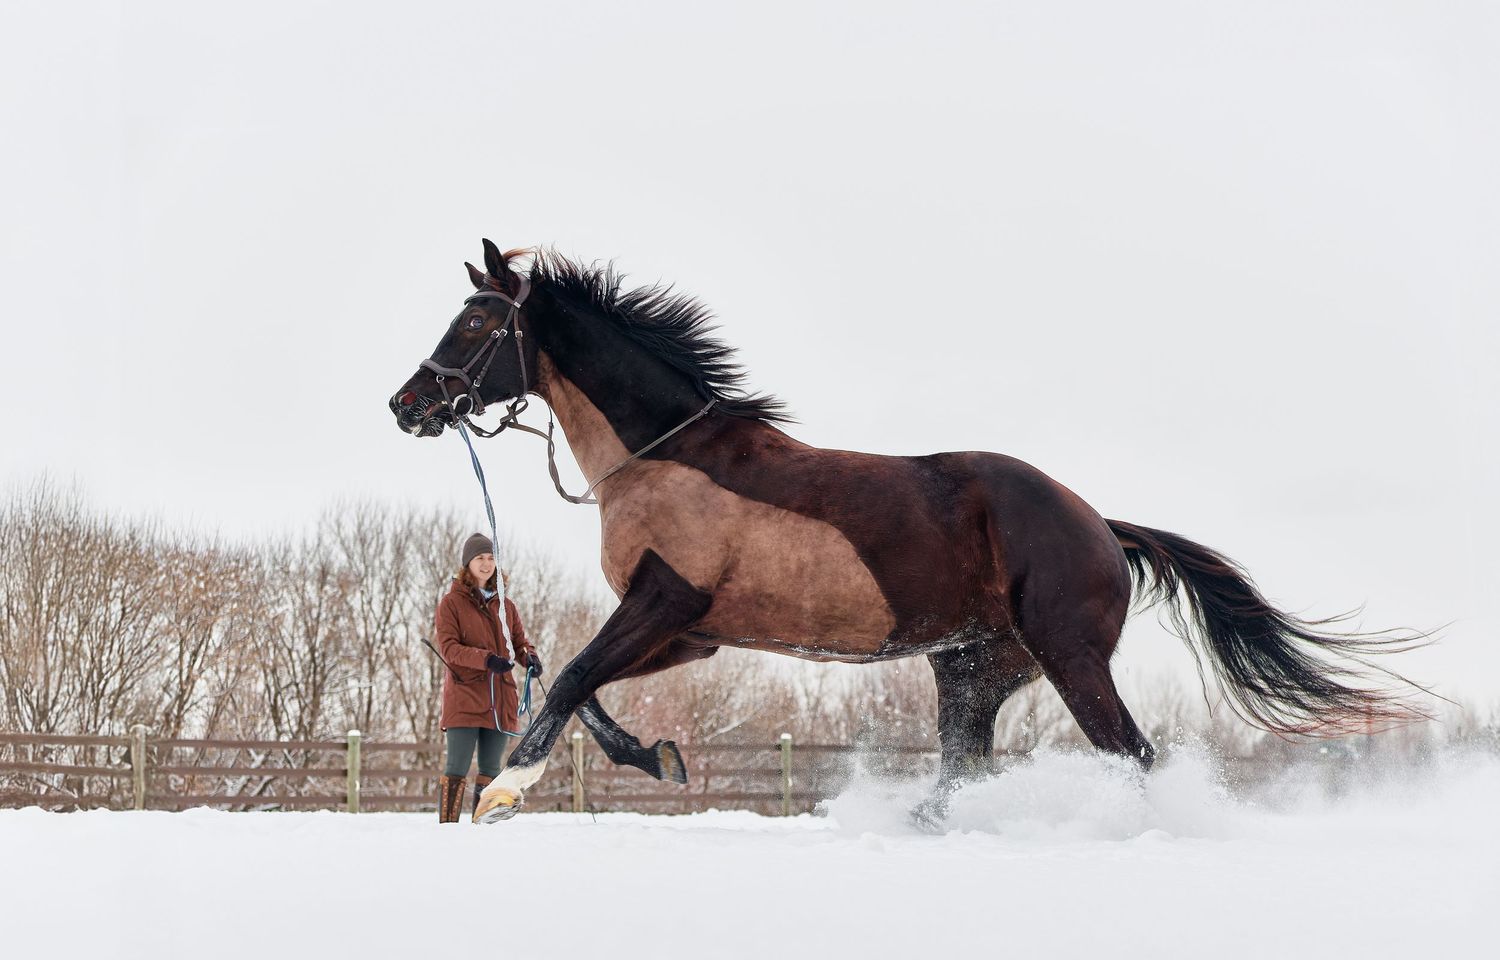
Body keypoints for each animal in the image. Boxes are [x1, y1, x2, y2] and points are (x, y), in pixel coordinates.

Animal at [390, 239, 1427, 827]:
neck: (664, 454)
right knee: (964, 766)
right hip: (973, 667)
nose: (407, 405)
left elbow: (566, 678)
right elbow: (582, 685)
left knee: (1128, 753)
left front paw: (503, 793)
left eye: (477, 320)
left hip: (1067, 656)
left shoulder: (664, 602)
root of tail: (1098, 524)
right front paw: (660, 758)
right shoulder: (691, 630)